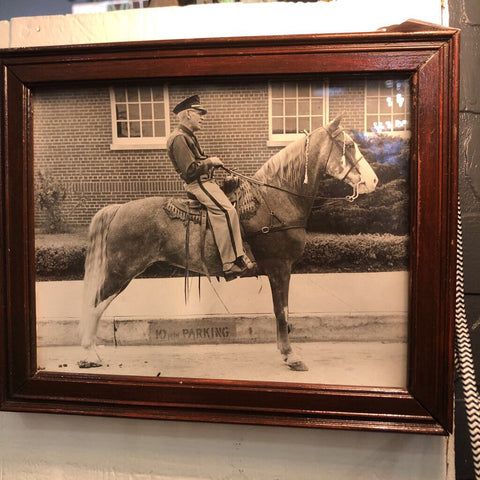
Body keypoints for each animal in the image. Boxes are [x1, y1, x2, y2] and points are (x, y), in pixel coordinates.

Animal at [79, 116, 378, 372]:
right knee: (95, 303)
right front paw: (290, 356)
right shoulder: (280, 268)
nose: (373, 181)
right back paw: (88, 354)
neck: (275, 202)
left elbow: (283, 311)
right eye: (349, 146)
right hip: (120, 272)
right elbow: (281, 311)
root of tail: (118, 209)